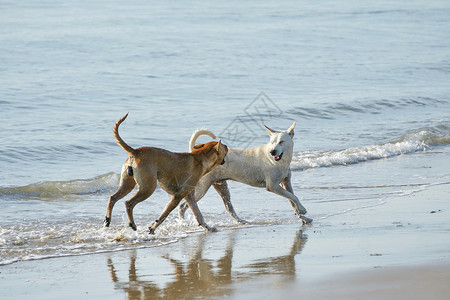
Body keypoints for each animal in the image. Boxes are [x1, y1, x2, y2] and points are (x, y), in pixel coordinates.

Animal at [178, 122, 312, 225]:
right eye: (272, 142)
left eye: (281, 142)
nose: (272, 152)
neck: (281, 162)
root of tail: (197, 155)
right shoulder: (272, 186)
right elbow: (293, 197)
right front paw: (303, 209)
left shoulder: (286, 182)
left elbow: (292, 199)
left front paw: (303, 217)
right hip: (202, 187)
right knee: (183, 206)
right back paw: (183, 222)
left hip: (221, 185)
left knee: (228, 207)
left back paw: (241, 221)